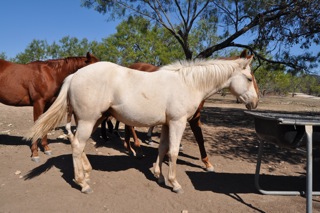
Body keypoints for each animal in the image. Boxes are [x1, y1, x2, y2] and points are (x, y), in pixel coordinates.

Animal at [25, 50, 260, 194]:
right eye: (249, 78)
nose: (255, 102)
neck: (187, 83)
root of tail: (74, 76)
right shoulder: (178, 122)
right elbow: (173, 152)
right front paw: (174, 183)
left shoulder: (166, 123)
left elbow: (163, 148)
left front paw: (159, 176)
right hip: (88, 120)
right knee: (76, 146)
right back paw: (82, 183)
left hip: (92, 119)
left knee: (77, 144)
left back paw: (87, 172)